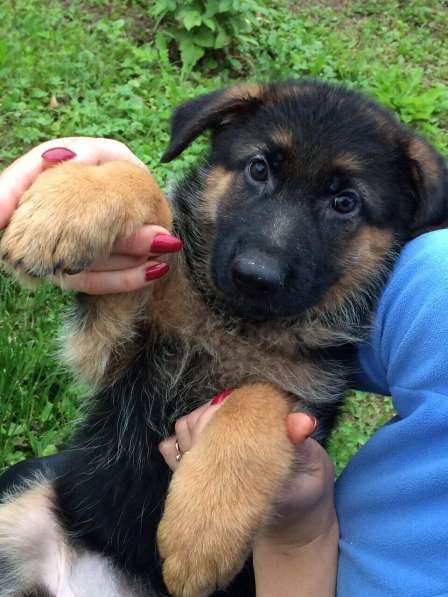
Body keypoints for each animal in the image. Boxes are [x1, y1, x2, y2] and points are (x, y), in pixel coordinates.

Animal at [0, 80, 446, 596]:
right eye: (259, 169)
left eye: (345, 202)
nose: (256, 276)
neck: (232, 322)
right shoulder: (111, 351)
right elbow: (155, 204)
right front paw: (65, 208)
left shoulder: (310, 402)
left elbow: (255, 396)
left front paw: (202, 530)